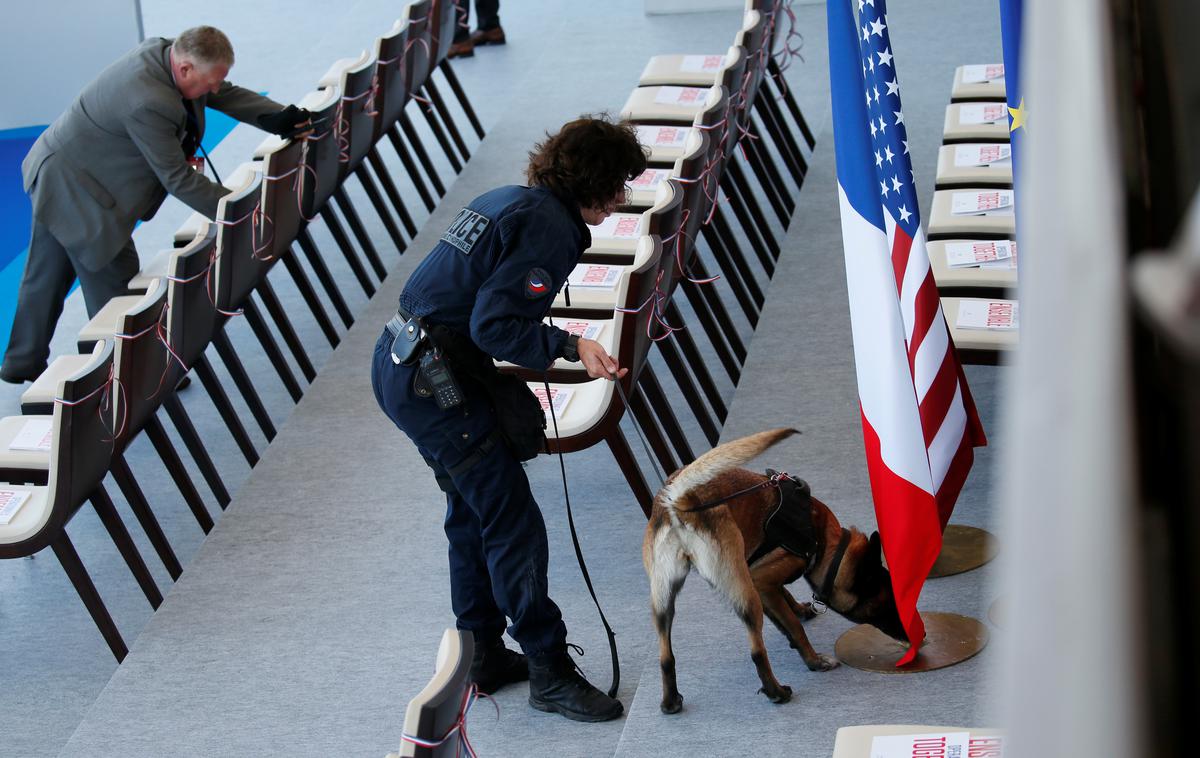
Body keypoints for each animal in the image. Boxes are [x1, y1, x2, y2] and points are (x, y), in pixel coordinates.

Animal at [643, 429, 902, 714]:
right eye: (888, 603)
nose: (918, 635)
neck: (825, 541)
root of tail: (680, 501)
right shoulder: (761, 580)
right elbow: (794, 626)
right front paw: (812, 659)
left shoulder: (761, 581)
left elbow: (786, 606)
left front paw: (798, 612)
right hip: (745, 595)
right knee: (757, 651)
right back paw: (776, 691)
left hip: (664, 600)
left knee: (665, 656)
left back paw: (670, 701)